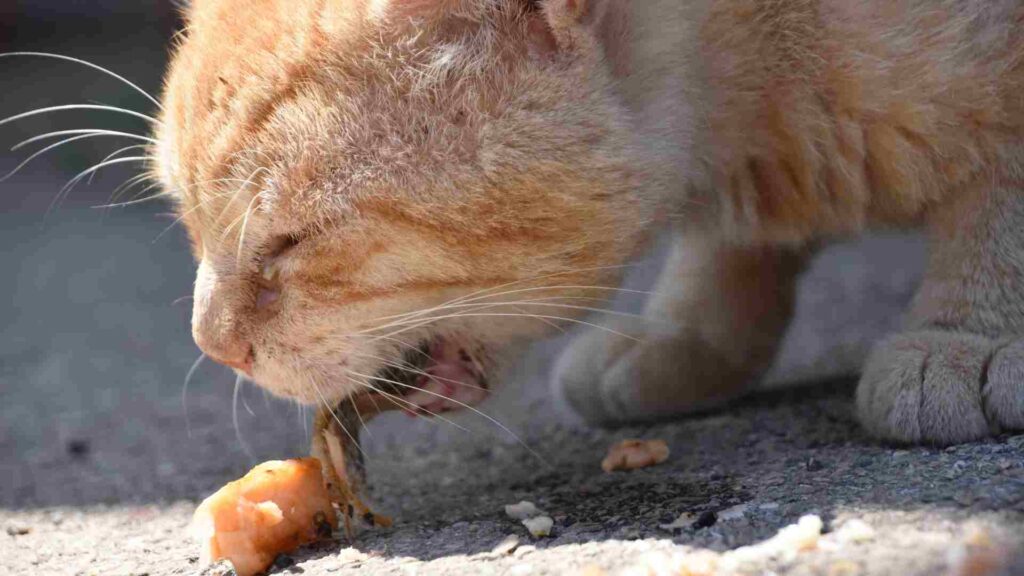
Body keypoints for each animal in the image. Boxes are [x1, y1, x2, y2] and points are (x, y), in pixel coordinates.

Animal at [153, 0, 1024, 444]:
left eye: (287, 242)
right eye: (189, 223)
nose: (211, 345)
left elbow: (1001, 209)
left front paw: (968, 333)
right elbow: (733, 246)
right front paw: (686, 336)